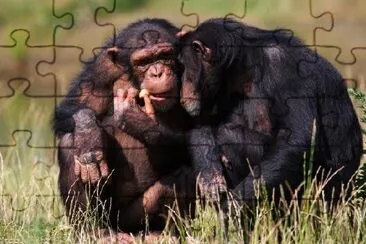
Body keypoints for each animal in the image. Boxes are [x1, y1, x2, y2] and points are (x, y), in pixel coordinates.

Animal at [53, 18, 196, 239]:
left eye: (165, 55)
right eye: (143, 62)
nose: (157, 72)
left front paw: (140, 121)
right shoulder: (101, 68)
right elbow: (74, 107)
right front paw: (88, 136)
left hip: (132, 219)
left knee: (183, 177)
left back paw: (162, 235)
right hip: (109, 216)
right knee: (69, 144)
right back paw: (94, 232)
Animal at [178, 18, 364, 206]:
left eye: (184, 67)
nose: (182, 85)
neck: (245, 65)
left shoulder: (285, 67)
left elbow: (295, 138)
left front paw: (231, 207)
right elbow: (200, 122)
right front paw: (208, 171)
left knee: (229, 135)